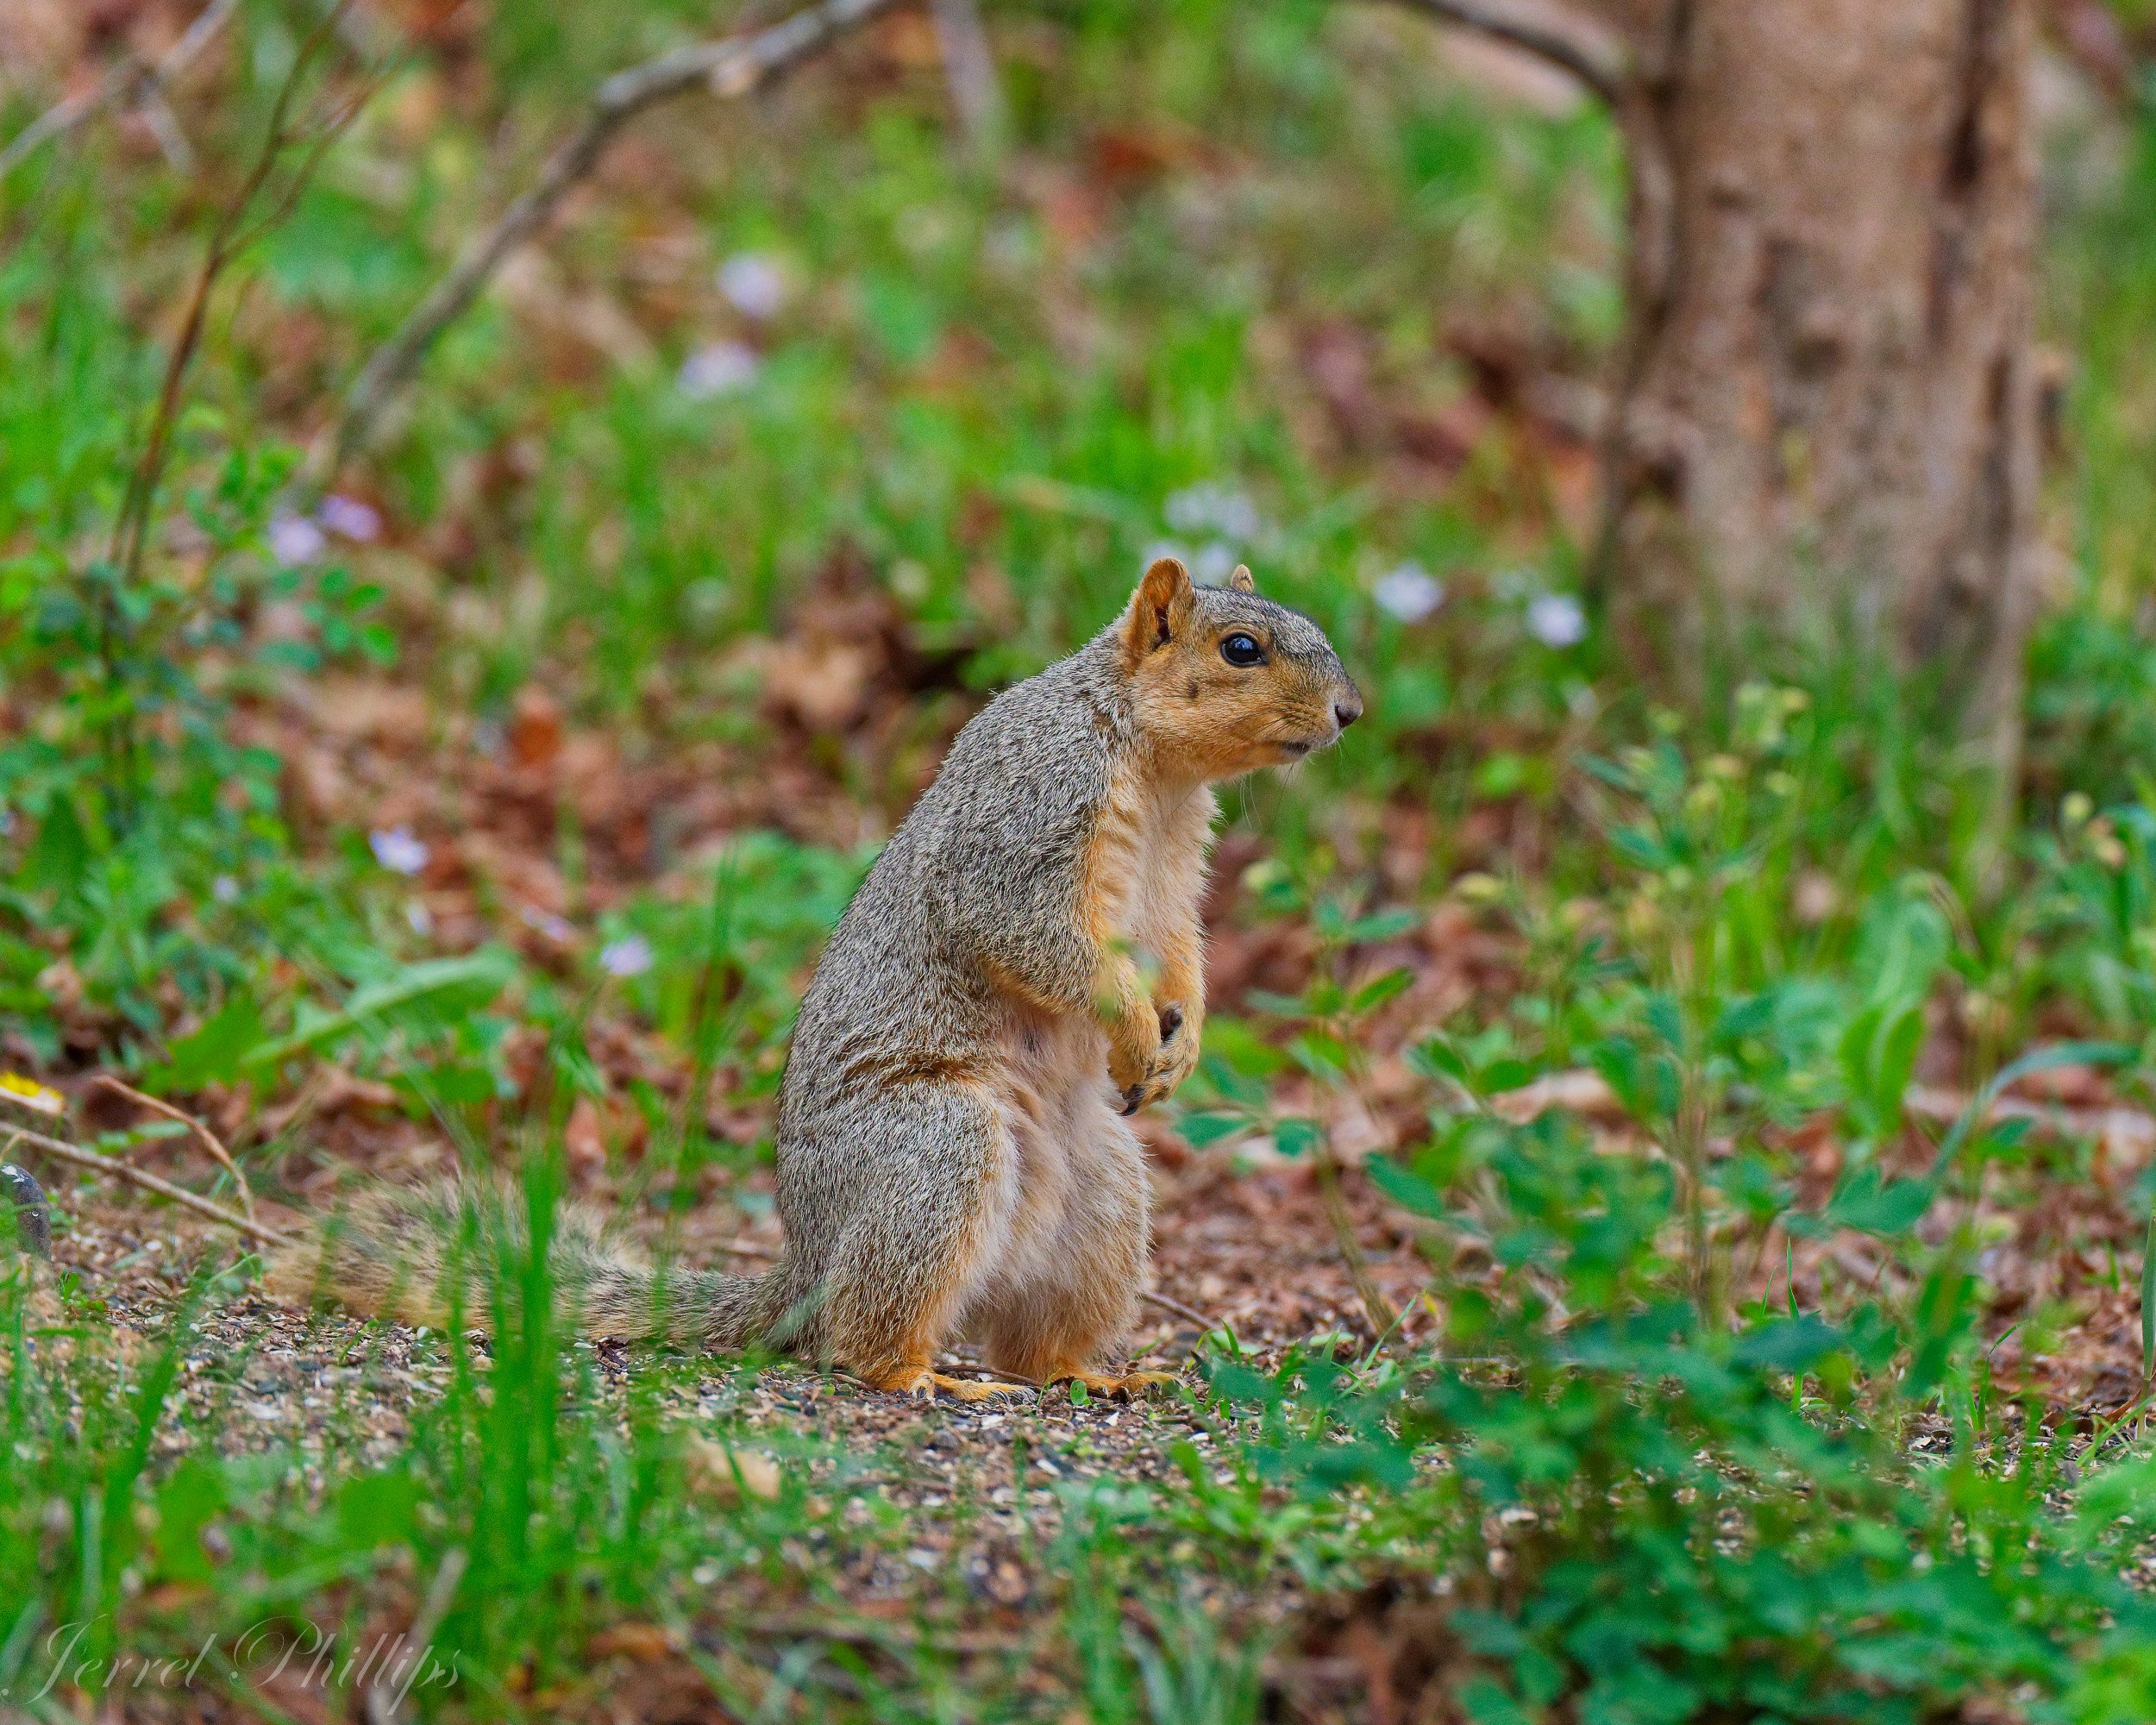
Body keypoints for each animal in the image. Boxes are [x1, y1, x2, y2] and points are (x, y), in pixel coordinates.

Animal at [269, 556, 1362, 1401]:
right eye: (1241, 649)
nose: (1351, 711)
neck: (1155, 765)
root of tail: (807, 1258)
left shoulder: (1176, 875)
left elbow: (1179, 949)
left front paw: (1181, 1036)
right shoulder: (1027, 819)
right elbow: (1027, 934)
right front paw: (1134, 1025)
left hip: (1102, 1192)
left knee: (1031, 1339)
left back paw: (1087, 1370)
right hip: (934, 1147)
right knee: (857, 1335)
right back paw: (921, 1374)